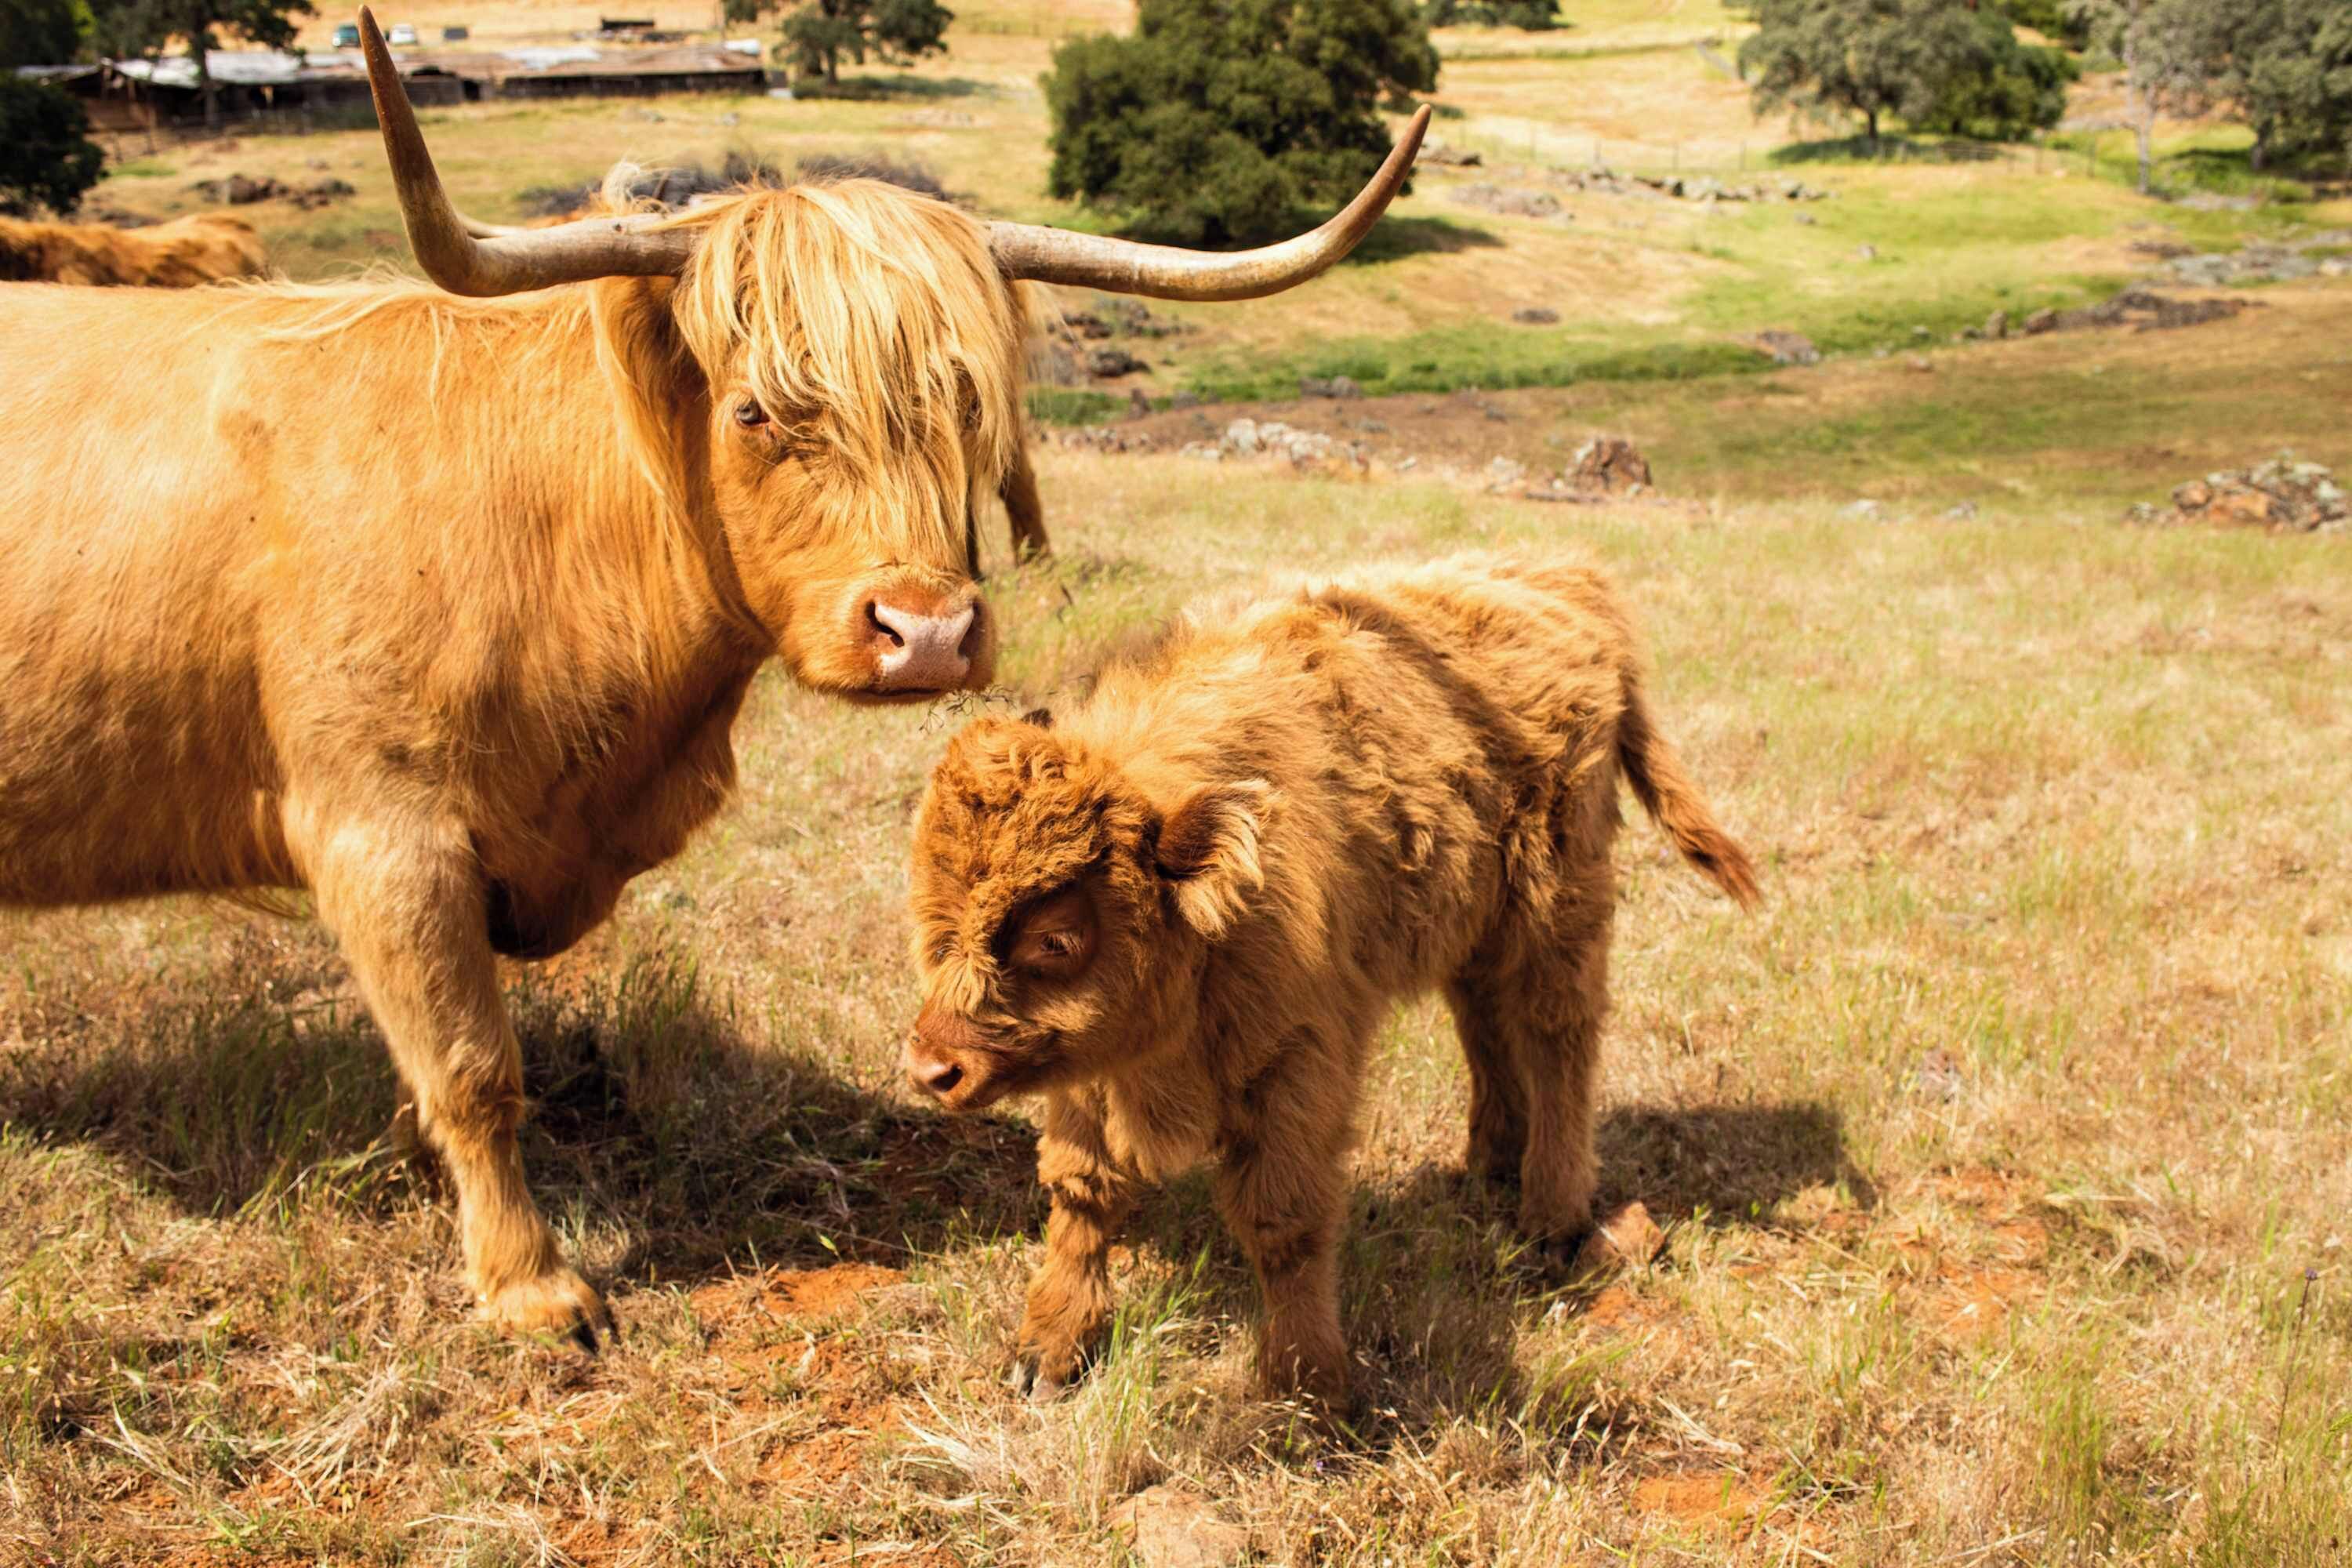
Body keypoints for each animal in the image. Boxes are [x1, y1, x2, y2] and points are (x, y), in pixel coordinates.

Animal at [903, 555, 1758, 1410]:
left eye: (1057, 937)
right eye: (932, 919)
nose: (933, 1068)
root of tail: (1565, 577)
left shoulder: (1297, 1065)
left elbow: (1284, 1220)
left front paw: (1308, 1383)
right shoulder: (1089, 1065)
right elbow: (1081, 1191)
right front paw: (1047, 1352)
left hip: (1559, 905)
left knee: (1558, 1038)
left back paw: (1551, 1219)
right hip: (1476, 920)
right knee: (1485, 1023)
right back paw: (1487, 1164)